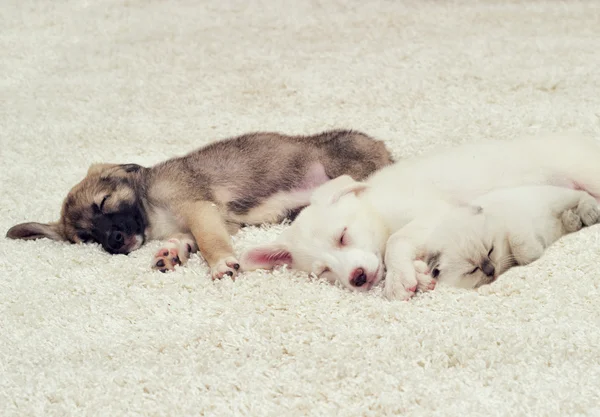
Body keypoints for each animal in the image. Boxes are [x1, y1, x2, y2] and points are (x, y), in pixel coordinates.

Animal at [4, 128, 394, 278]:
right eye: (85, 238)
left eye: (103, 203)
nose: (114, 242)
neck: (150, 210)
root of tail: (382, 147)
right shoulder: (215, 220)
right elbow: (187, 239)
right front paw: (171, 253)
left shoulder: (199, 209)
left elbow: (208, 242)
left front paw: (221, 263)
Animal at [241, 133, 600, 300]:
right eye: (324, 271)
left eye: (342, 236)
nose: (357, 278)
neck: (377, 205)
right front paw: (416, 273)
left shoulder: (434, 214)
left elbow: (397, 242)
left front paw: (399, 278)